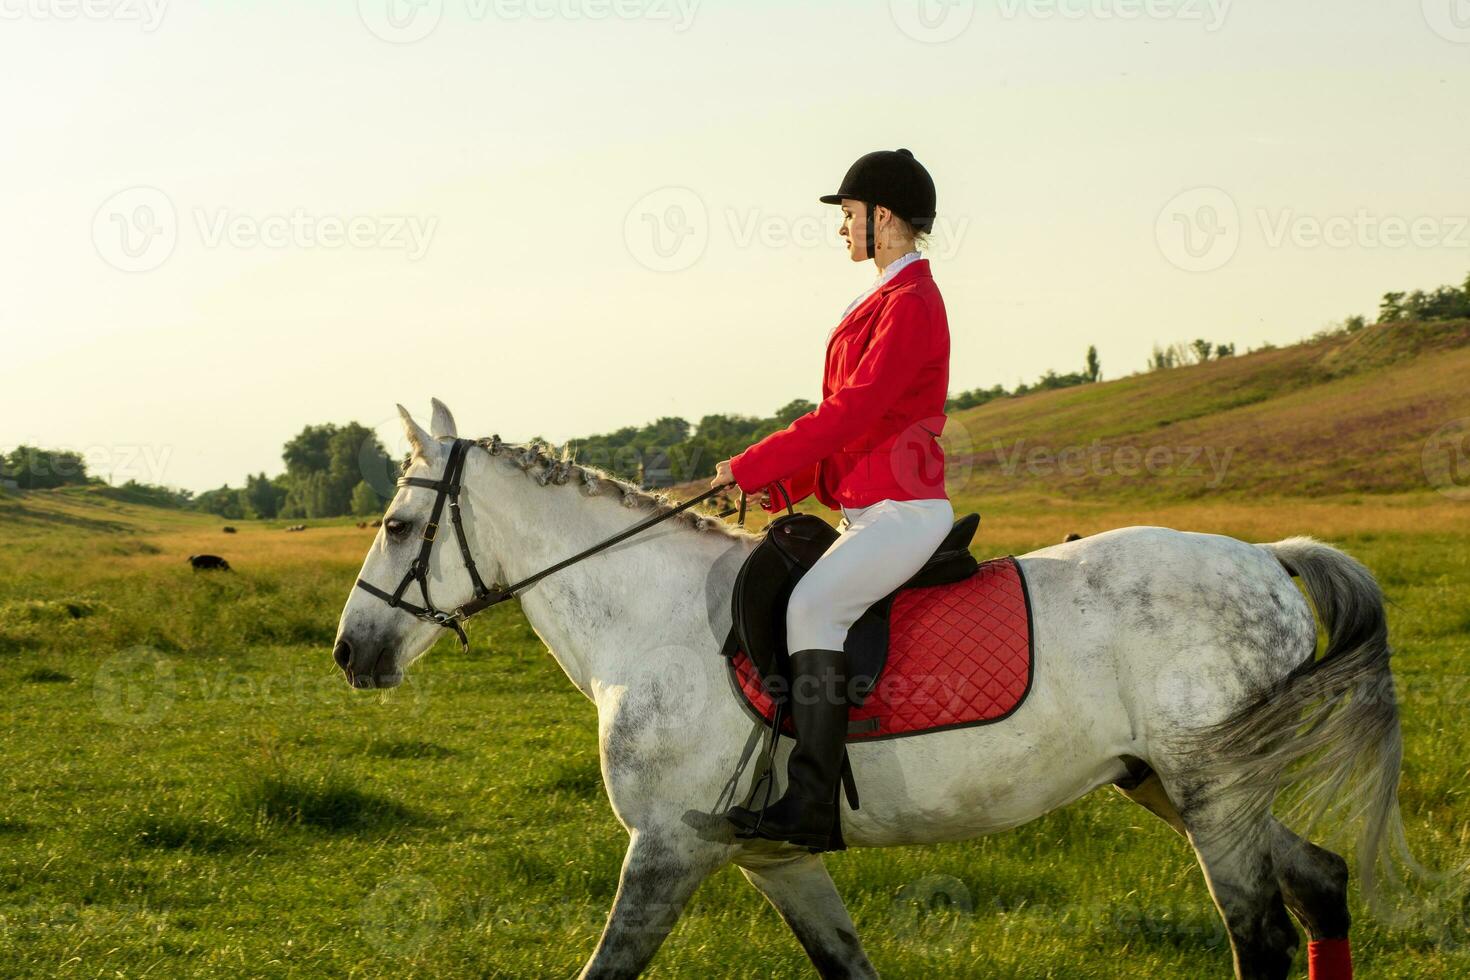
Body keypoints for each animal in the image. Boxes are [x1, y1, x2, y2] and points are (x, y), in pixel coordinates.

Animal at [333, 399, 1411, 980]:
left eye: (394, 526)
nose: (351, 653)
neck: (648, 618)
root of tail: (1267, 556)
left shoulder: (669, 846)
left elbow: (609, 967)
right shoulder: (771, 857)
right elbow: (845, 962)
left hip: (1209, 789)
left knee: (1262, 933)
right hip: (1178, 785)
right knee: (1320, 880)